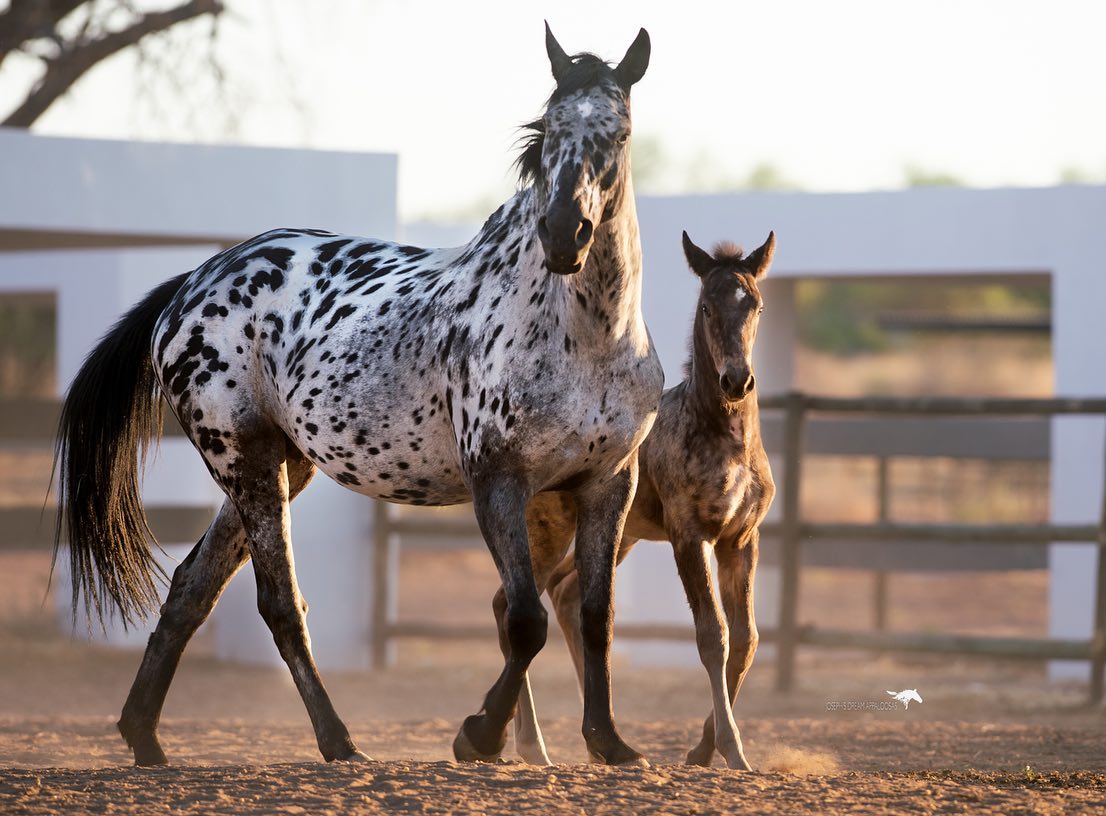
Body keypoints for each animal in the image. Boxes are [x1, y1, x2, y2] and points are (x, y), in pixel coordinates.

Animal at [56, 23, 659, 760]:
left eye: (618, 134)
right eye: (548, 129)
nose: (564, 233)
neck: (583, 340)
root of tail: (193, 283)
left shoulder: (609, 484)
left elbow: (595, 617)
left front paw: (610, 742)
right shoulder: (498, 482)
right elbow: (524, 620)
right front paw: (478, 735)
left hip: (280, 466)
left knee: (191, 590)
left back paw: (144, 738)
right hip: (248, 463)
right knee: (279, 606)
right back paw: (339, 742)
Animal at [502, 229, 778, 769]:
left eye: (755, 304)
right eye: (707, 306)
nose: (737, 380)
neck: (725, 439)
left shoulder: (742, 537)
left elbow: (747, 639)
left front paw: (703, 748)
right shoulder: (689, 534)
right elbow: (712, 635)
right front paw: (731, 750)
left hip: (619, 534)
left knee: (566, 594)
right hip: (547, 528)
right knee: (511, 600)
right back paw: (531, 745)